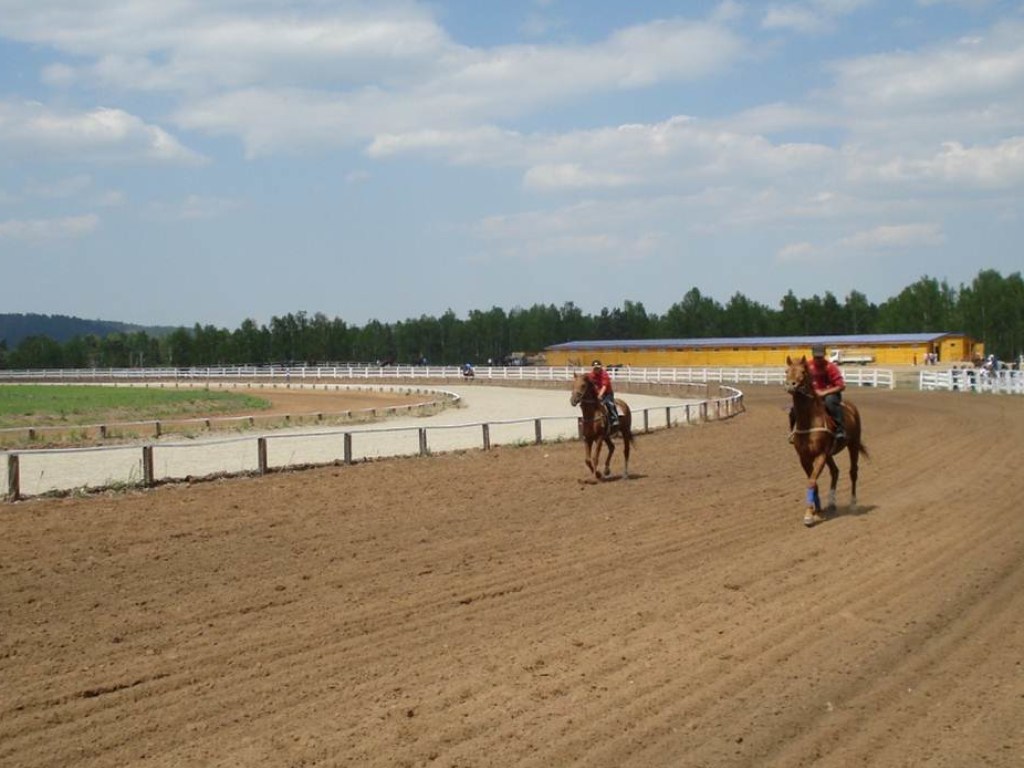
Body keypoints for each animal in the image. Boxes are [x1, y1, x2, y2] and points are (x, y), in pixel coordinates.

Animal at [786, 356, 868, 528]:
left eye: (803, 371)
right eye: (786, 371)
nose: (791, 385)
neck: (809, 423)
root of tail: (851, 407)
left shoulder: (821, 455)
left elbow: (811, 482)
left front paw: (809, 515)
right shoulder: (804, 458)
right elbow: (814, 482)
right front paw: (817, 510)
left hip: (853, 445)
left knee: (853, 472)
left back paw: (853, 503)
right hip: (830, 454)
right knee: (835, 472)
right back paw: (831, 504)